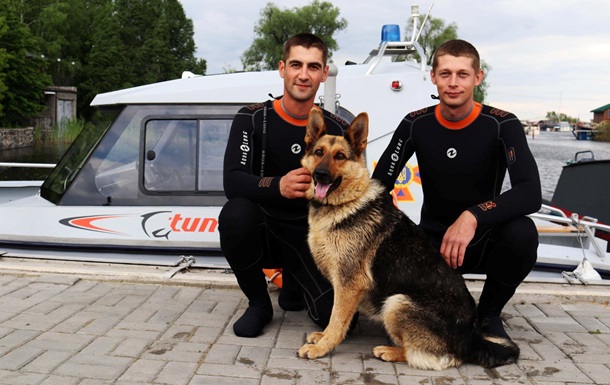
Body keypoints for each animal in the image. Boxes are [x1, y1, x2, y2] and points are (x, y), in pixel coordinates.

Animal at [296, 108, 516, 368]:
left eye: (340, 156)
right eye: (319, 153)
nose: (320, 175)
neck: (346, 203)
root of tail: (472, 339)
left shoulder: (348, 285)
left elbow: (337, 320)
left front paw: (322, 346)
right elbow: (334, 316)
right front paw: (321, 338)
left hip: (396, 302)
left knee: (434, 357)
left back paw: (389, 351)